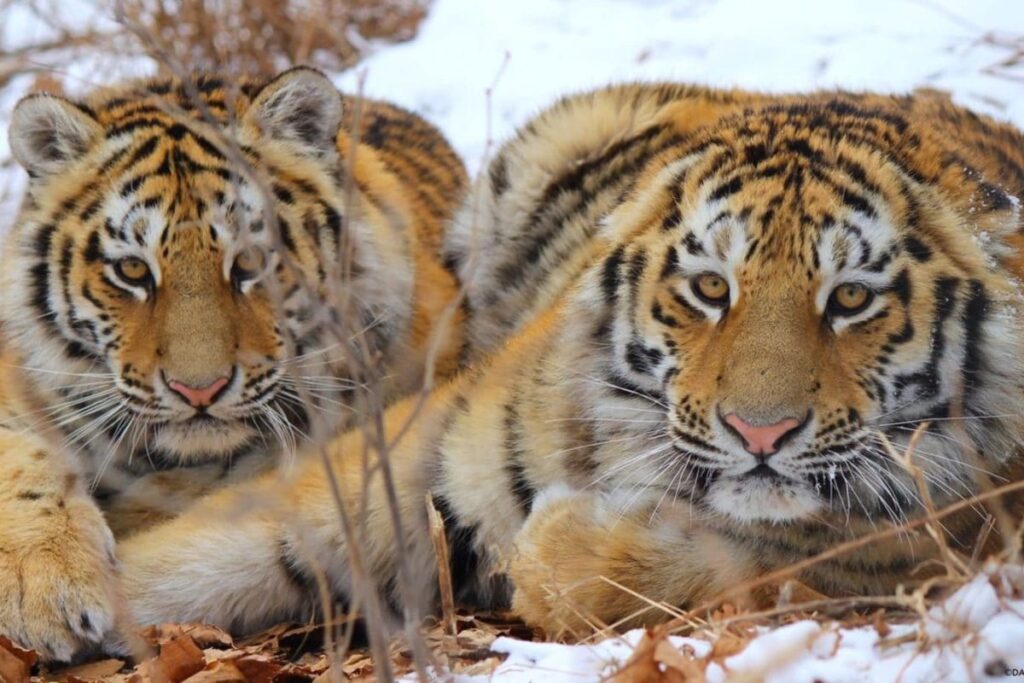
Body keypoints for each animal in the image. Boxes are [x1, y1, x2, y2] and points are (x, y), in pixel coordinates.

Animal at [104, 83, 1024, 651]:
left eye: (852, 299)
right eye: (711, 287)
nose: (759, 432)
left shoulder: (893, 558)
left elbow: (685, 568)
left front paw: (554, 538)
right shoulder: (427, 445)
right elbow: (229, 542)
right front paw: (84, 601)